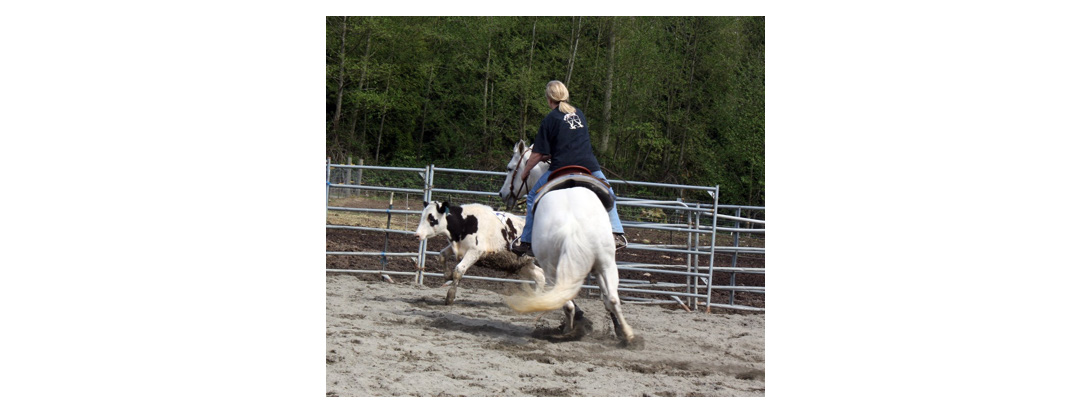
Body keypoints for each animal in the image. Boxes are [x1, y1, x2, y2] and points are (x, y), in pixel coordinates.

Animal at [413, 200, 545, 302]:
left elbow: (459, 270)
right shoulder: (458, 246)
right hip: (522, 263)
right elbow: (442, 255)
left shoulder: (475, 251)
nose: (417, 235)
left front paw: (450, 296)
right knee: (539, 275)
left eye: (432, 219)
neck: (465, 222)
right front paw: (447, 275)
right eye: (422, 216)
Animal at [501, 146, 639, 345]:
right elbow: (606, 298)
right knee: (612, 298)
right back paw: (628, 335)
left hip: (551, 268)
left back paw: (568, 330)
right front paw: (617, 329)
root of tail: (573, 227)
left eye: (510, 168)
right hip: (606, 263)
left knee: (565, 300)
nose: (502, 194)